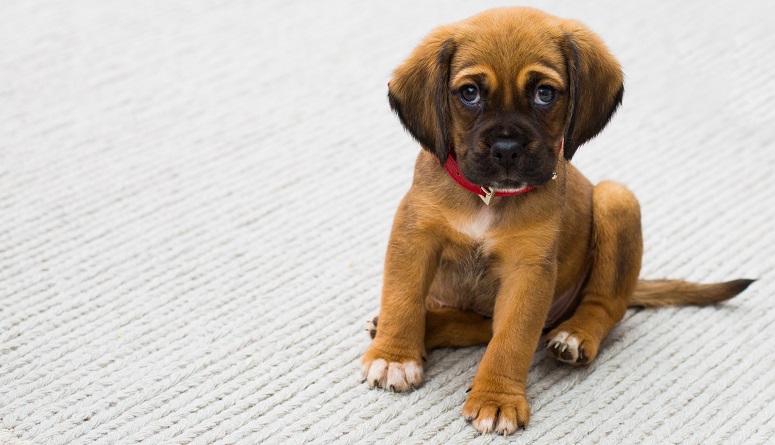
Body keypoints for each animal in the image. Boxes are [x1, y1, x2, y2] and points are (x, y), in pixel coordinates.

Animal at [362, 6, 752, 436]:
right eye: (470, 93)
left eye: (544, 94)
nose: (506, 149)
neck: (488, 198)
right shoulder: (414, 238)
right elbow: (402, 299)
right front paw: (395, 355)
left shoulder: (528, 272)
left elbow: (512, 340)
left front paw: (497, 398)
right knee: (477, 326)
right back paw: (422, 327)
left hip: (616, 199)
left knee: (605, 306)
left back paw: (576, 335)